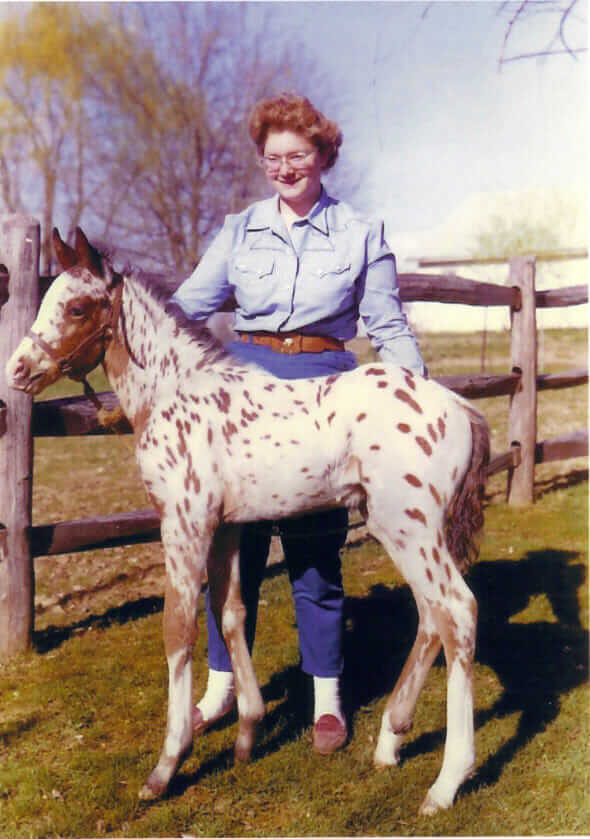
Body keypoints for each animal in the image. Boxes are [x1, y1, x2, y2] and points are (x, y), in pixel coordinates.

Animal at [6, 228, 492, 812]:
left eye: (77, 307)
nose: (18, 371)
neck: (173, 394)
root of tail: (461, 409)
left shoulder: (184, 524)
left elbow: (178, 628)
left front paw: (166, 766)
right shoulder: (229, 528)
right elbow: (231, 612)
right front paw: (246, 734)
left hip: (408, 528)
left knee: (458, 611)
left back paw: (446, 782)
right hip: (407, 532)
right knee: (431, 617)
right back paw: (389, 743)